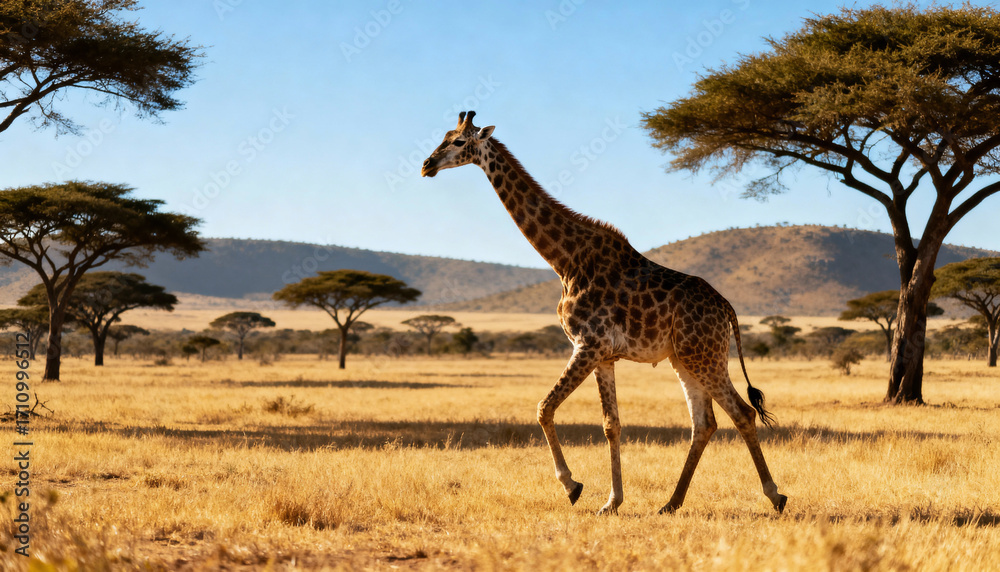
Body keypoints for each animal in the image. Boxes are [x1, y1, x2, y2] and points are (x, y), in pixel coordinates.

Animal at [421, 111, 787, 516]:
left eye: (457, 141)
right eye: (442, 136)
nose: (426, 165)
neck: (564, 261)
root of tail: (728, 309)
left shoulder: (588, 344)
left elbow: (544, 407)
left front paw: (572, 486)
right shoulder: (604, 355)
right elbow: (611, 424)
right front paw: (612, 502)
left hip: (704, 356)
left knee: (742, 413)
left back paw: (775, 495)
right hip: (685, 358)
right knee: (704, 423)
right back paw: (671, 503)